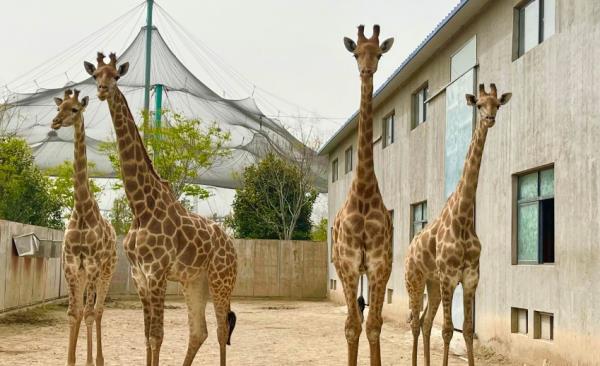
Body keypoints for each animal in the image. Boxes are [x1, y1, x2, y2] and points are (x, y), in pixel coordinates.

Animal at [83, 52, 238, 366]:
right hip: (195, 281)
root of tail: (233, 248)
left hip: (221, 278)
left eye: (115, 76)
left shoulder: (157, 272)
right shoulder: (140, 276)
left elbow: (157, 336)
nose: (102, 90)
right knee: (199, 331)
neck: (141, 207)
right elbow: (147, 336)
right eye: (95, 75)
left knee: (220, 330)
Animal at [404, 83, 510, 366]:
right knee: (416, 323)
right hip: (415, 280)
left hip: (432, 284)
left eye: (497, 104)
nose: (490, 119)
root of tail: (409, 249)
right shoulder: (450, 277)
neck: (463, 219)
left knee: (424, 321)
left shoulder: (471, 278)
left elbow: (469, 330)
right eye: (479, 105)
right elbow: (448, 330)